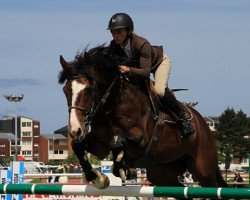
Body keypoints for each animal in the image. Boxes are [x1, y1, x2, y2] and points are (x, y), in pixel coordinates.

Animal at [58, 45, 227, 191]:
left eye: (88, 90)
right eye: (65, 90)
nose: (75, 130)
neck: (114, 103)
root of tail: (202, 123)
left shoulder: (141, 140)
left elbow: (116, 142)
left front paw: (122, 169)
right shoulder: (100, 146)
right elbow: (78, 145)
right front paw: (97, 177)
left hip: (203, 168)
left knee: (212, 185)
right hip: (162, 173)